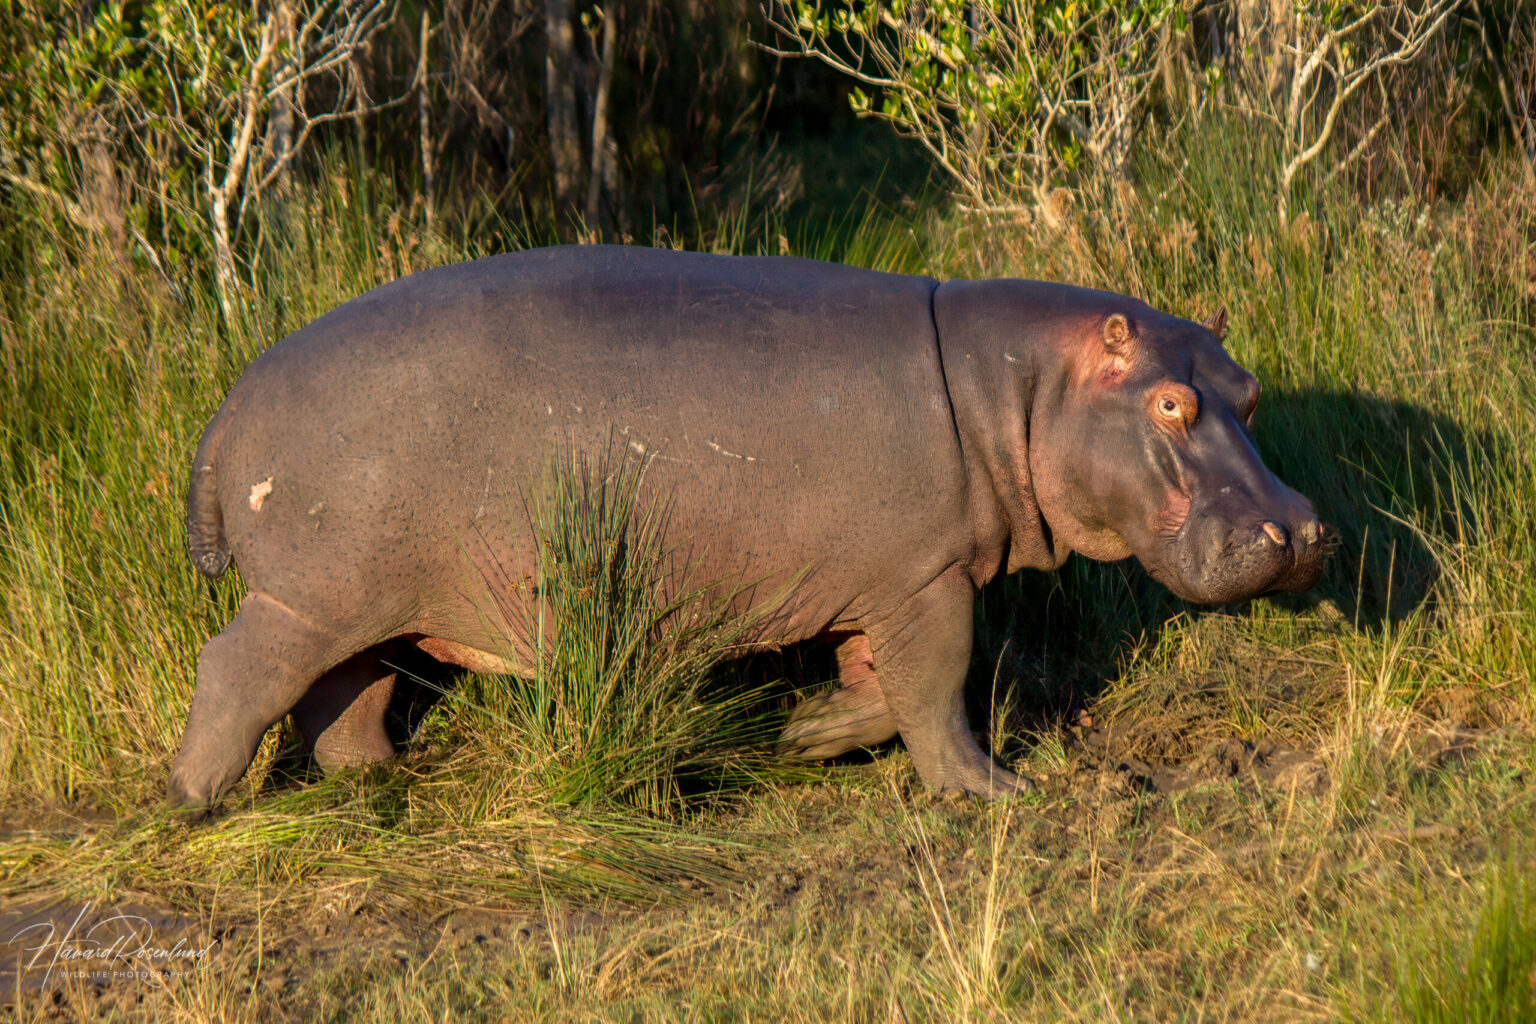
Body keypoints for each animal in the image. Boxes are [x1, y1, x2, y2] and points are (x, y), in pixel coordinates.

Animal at [169, 245, 1326, 809]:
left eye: (1249, 390)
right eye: (1169, 404)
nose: (1304, 532)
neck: (1021, 388)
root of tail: (224, 412)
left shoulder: (877, 581)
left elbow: (878, 689)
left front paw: (801, 735)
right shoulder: (926, 575)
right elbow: (935, 688)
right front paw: (995, 793)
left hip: (366, 598)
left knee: (340, 694)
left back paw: (380, 780)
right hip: (311, 593)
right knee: (238, 669)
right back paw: (194, 799)